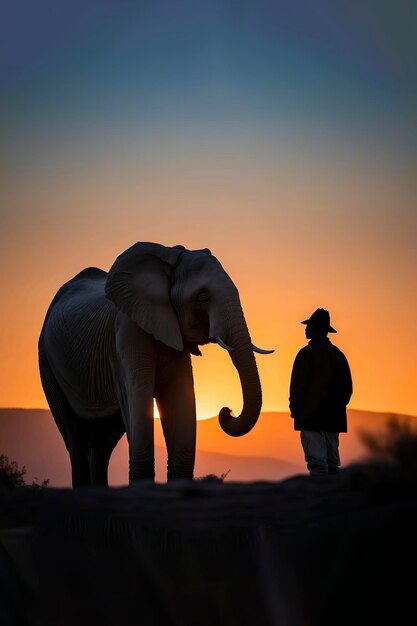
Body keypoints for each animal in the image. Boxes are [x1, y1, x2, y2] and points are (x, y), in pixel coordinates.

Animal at [38, 241, 272, 486]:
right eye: (203, 297)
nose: (227, 411)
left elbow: (180, 400)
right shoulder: (127, 333)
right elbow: (138, 398)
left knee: (103, 442)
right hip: (46, 358)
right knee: (73, 435)